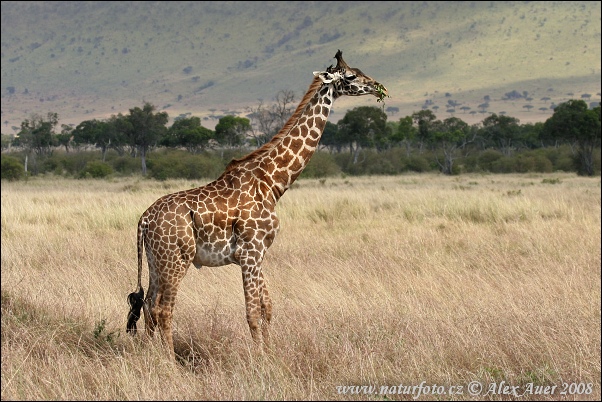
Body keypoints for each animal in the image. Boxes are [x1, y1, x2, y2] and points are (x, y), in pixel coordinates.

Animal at [127, 50, 390, 358]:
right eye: (350, 76)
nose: (378, 87)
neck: (272, 182)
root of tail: (144, 220)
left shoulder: (260, 253)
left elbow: (268, 307)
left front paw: (271, 352)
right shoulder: (250, 253)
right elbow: (252, 312)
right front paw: (260, 359)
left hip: (156, 261)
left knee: (147, 306)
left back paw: (150, 355)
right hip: (177, 259)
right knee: (163, 309)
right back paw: (169, 361)